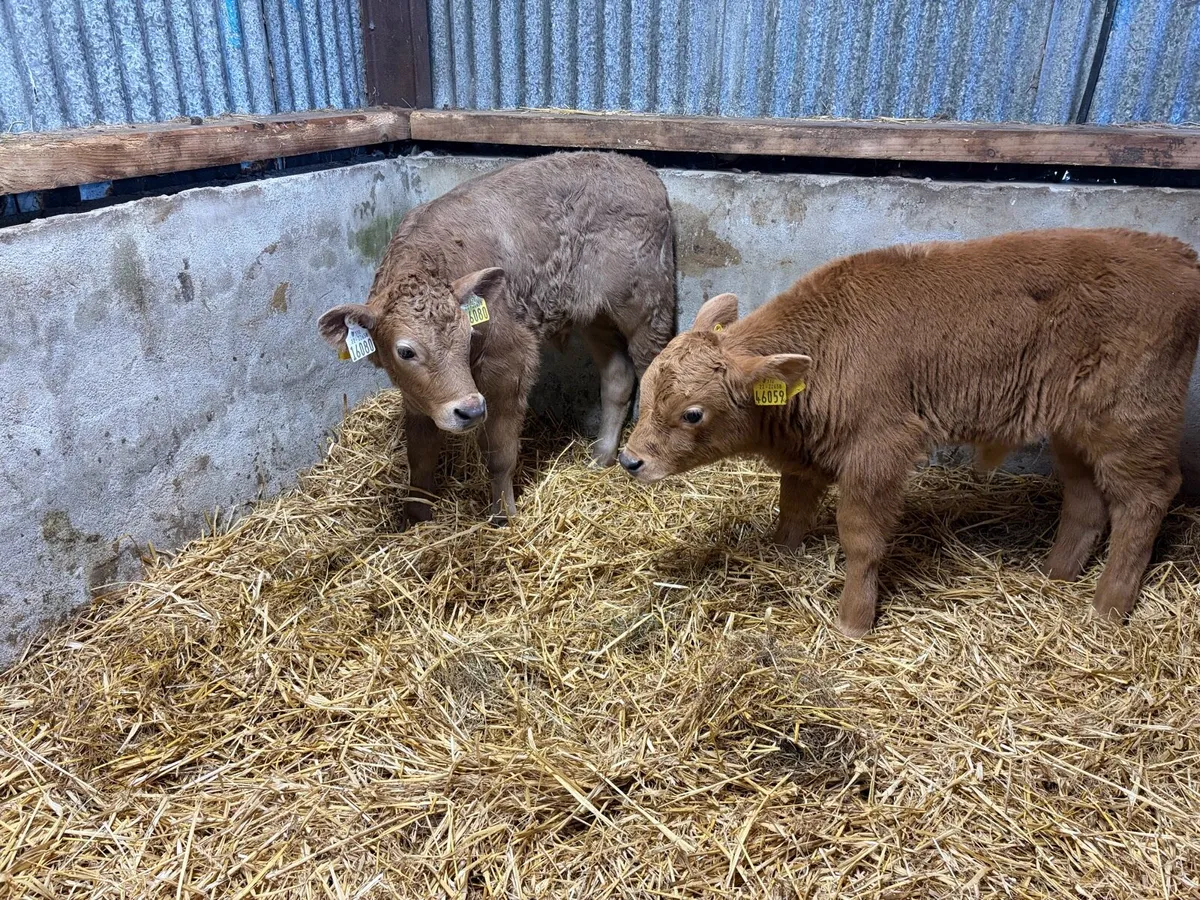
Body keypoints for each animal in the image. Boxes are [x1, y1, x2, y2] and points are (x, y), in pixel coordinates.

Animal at [319, 152, 676, 523]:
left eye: (468, 337)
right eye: (405, 352)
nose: (470, 411)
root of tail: (639, 167)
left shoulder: (510, 362)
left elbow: (499, 453)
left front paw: (504, 515)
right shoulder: (417, 394)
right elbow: (420, 452)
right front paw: (415, 516)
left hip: (647, 307)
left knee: (654, 368)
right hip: (596, 315)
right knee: (617, 377)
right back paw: (601, 457)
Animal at [617, 228, 1200, 637]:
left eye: (693, 413)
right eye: (647, 387)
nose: (631, 460)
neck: (827, 346)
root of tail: (1178, 255)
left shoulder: (878, 452)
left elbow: (861, 537)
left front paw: (853, 622)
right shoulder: (808, 456)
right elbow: (793, 507)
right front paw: (781, 555)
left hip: (1131, 422)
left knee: (1146, 497)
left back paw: (1107, 609)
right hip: (1072, 430)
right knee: (1086, 498)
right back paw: (1056, 576)